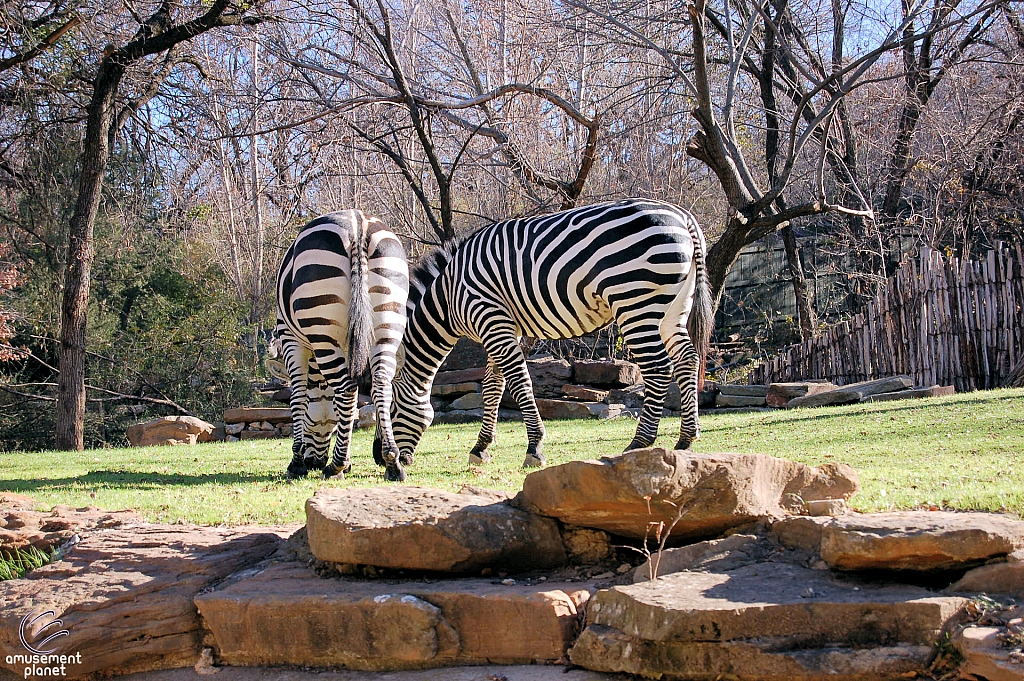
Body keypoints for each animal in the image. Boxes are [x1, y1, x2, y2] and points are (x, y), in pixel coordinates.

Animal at [280, 209, 411, 481]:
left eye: (314, 423)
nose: (314, 463)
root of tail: (357, 224)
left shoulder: (289, 338)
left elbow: (298, 397)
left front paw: (296, 463)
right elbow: (349, 407)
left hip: (322, 325)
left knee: (347, 389)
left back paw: (335, 466)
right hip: (388, 321)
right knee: (381, 385)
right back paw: (392, 463)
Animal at [374, 199, 712, 471]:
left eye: (389, 409)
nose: (379, 458)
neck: (449, 296)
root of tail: (683, 216)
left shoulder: (490, 319)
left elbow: (519, 383)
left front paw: (534, 449)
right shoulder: (502, 326)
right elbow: (494, 386)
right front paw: (480, 449)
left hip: (635, 301)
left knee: (658, 368)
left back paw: (639, 444)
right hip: (674, 308)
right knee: (687, 359)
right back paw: (686, 440)